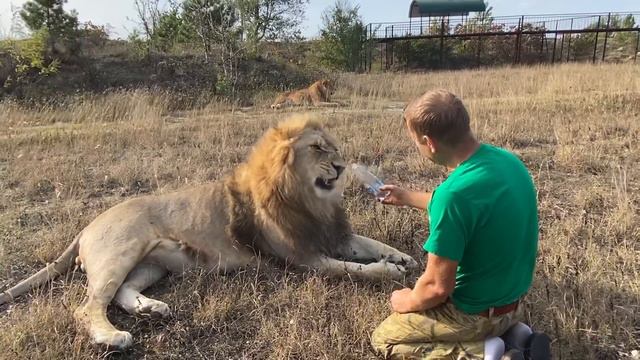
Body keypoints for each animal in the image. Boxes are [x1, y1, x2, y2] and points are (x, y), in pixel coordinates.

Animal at [0, 116, 418, 350]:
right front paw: (389, 270)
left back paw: (151, 309)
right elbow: (356, 269)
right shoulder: (305, 259)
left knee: (121, 292)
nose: (343, 166)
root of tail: (86, 226)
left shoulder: (331, 234)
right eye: (317, 149)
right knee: (88, 307)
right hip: (120, 251)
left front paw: (401, 255)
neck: (308, 200)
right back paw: (113, 337)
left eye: (334, 148)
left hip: (153, 264)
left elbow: (368, 242)